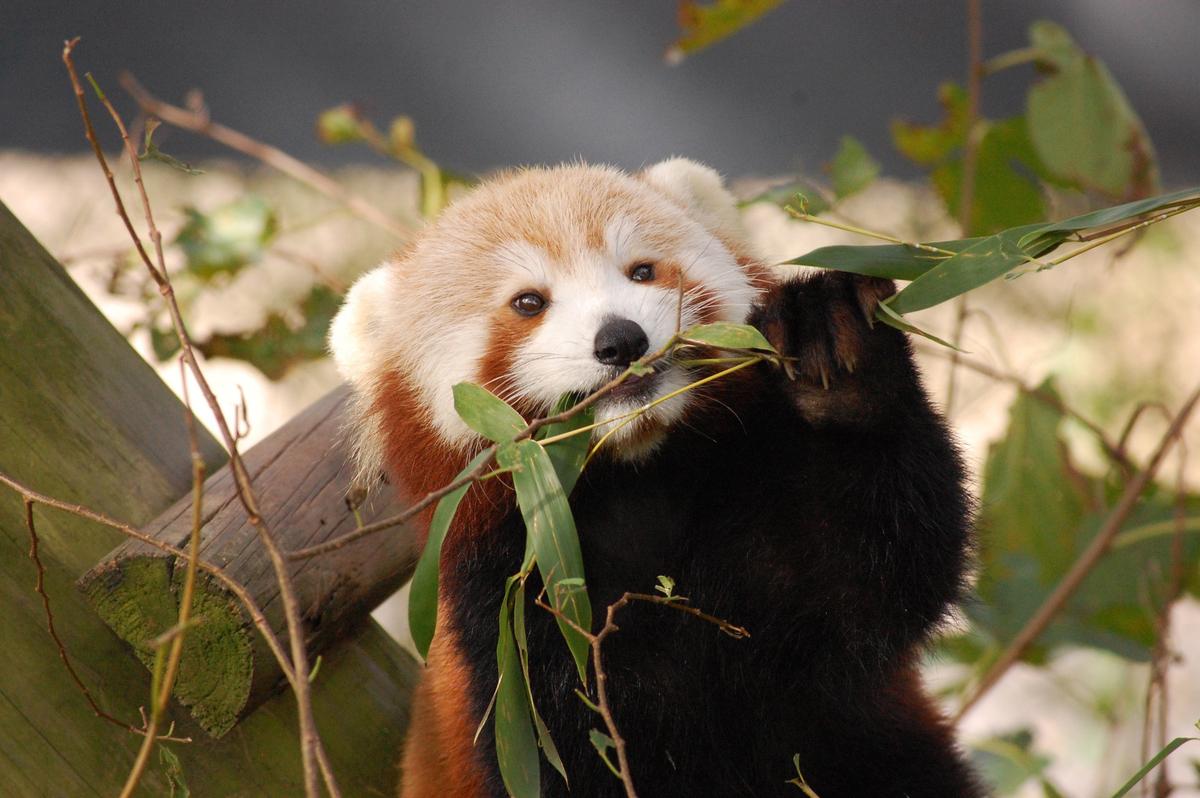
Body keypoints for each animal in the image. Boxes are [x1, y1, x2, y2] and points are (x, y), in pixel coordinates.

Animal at [330, 159, 985, 797]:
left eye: (641, 271)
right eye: (528, 303)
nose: (621, 339)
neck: (633, 485)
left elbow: (872, 571)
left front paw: (835, 346)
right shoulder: (510, 632)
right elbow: (571, 761)